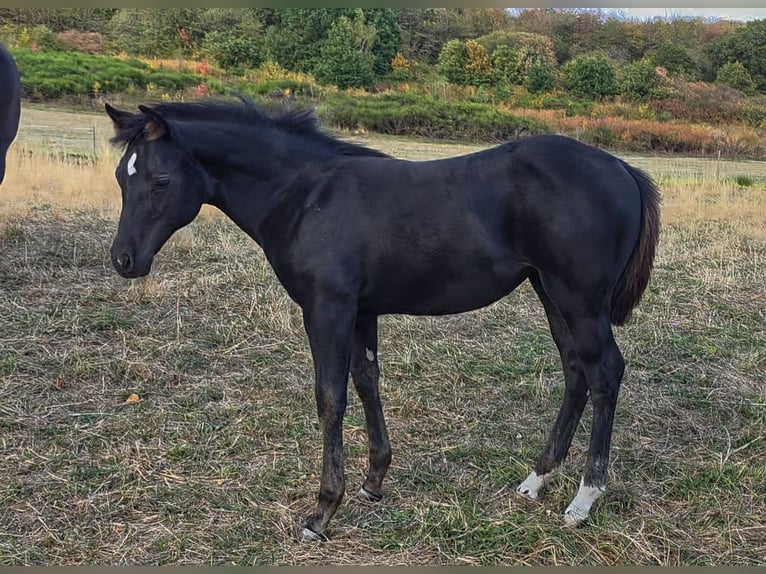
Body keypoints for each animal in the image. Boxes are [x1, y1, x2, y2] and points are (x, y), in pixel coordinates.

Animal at [104, 98, 660, 541]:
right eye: (119, 177)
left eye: (161, 180)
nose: (124, 260)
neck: (307, 196)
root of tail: (622, 169)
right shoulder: (361, 310)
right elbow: (367, 381)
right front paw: (373, 483)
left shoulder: (326, 307)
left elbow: (331, 398)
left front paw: (322, 512)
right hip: (550, 292)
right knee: (575, 371)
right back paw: (537, 479)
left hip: (580, 300)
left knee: (605, 373)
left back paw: (584, 498)